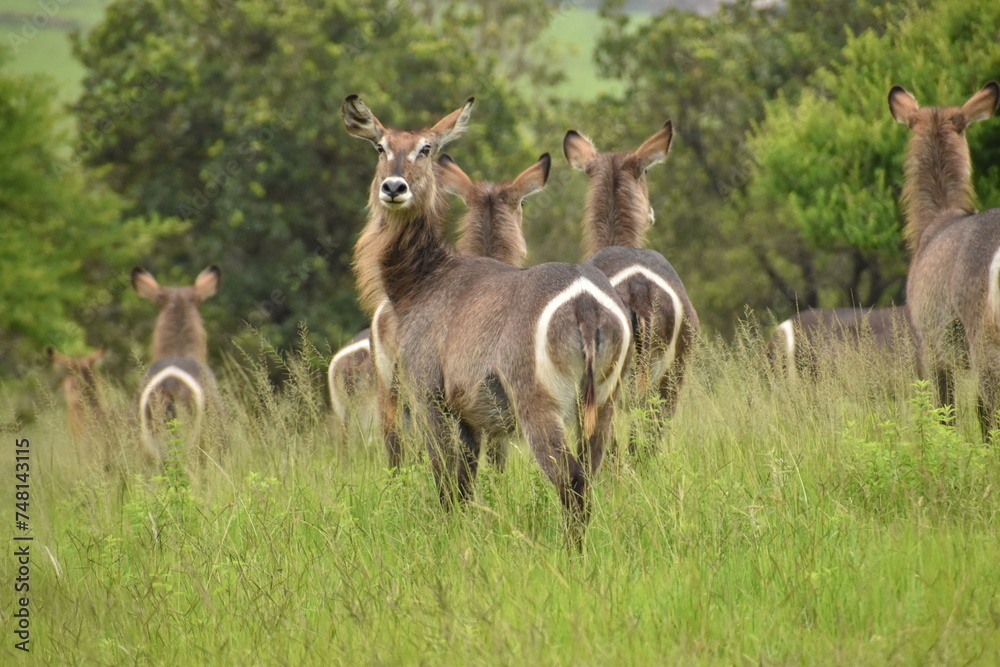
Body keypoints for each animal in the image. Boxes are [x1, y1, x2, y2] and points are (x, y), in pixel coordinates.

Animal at [343, 95, 631, 542]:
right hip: (604, 403)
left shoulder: (431, 398)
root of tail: (586, 302)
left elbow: (448, 485)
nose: (394, 187)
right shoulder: (473, 417)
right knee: (591, 476)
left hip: (538, 406)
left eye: (426, 149)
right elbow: (467, 485)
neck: (425, 280)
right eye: (380, 146)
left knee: (571, 481)